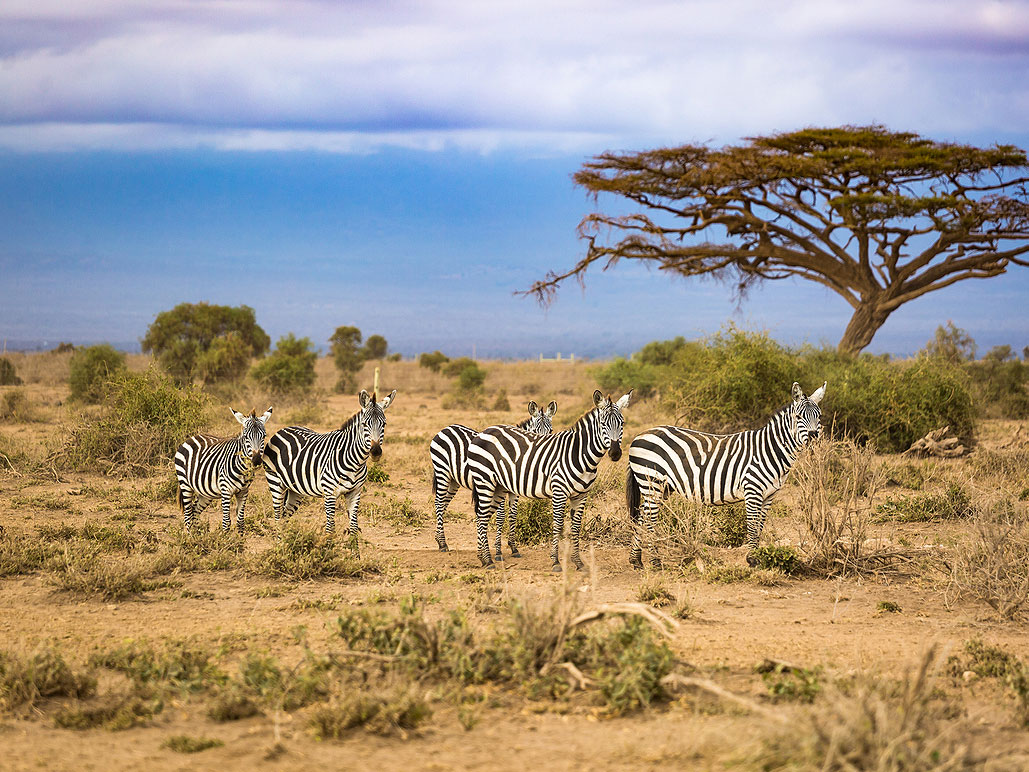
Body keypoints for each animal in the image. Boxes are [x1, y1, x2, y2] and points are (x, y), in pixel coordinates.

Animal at [261, 389, 396, 533]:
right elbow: (330, 528)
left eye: (384, 424)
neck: (356, 462)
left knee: (285, 517)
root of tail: (283, 429)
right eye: (364, 424)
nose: (375, 452)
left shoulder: (355, 492)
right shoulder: (330, 493)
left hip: (295, 489)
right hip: (275, 482)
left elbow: (354, 528)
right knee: (277, 518)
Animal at [430, 400, 558, 559]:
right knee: (439, 502)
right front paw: (498, 551)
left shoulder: (514, 490)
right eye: (534, 431)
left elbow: (513, 515)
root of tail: (446, 428)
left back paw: (439, 539)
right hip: (442, 472)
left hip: (454, 480)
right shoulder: (500, 486)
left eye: (551, 431)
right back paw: (442, 543)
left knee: (444, 504)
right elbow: (501, 516)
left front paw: (514, 548)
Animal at [467, 389, 632, 571]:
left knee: (482, 517)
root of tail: (485, 431)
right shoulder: (559, 491)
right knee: (482, 517)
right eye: (603, 423)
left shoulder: (581, 495)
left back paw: (482, 558)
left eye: (622, 423)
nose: (615, 453)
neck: (579, 454)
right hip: (485, 481)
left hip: (498, 487)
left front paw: (578, 562)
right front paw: (556, 561)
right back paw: (488, 560)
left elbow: (576, 528)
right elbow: (558, 525)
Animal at [626, 381, 826, 568]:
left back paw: (636, 560)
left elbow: (760, 527)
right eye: (798, 417)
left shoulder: (770, 495)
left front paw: (759, 557)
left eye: (819, 416)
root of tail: (640, 435)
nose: (813, 437)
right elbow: (752, 527)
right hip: (652, 482)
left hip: (662, 487)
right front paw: (752, 559)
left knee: (641, 518)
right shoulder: (752, 490)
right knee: (649, 521)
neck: (770, 450)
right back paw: (655, 562)